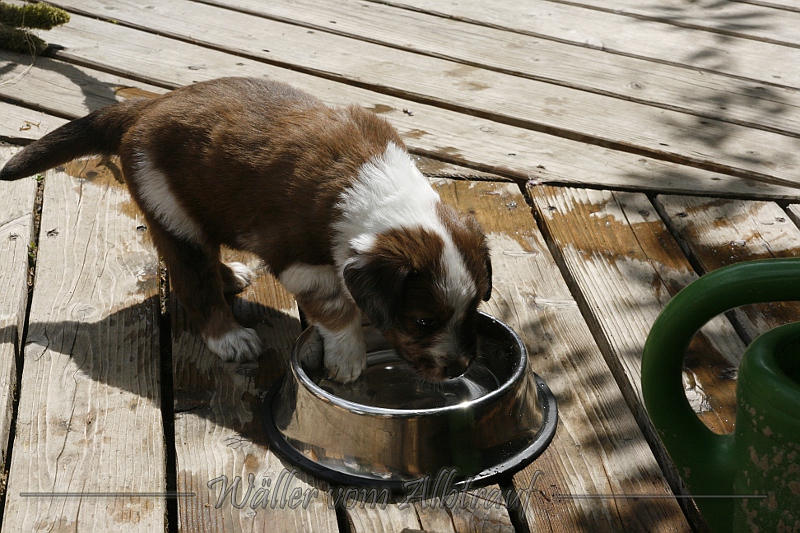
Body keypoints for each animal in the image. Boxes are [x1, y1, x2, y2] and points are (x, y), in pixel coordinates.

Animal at [1, 77, 491, 383]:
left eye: (472, 310)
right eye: (422, 321)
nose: (459, 368)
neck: (378, 192)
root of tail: (146, 106)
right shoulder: (298, 261)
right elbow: (338, 308)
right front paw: (348, 358)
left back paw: (231, 275)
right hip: (172, 210)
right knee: (194, 284)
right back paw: (230, 337)